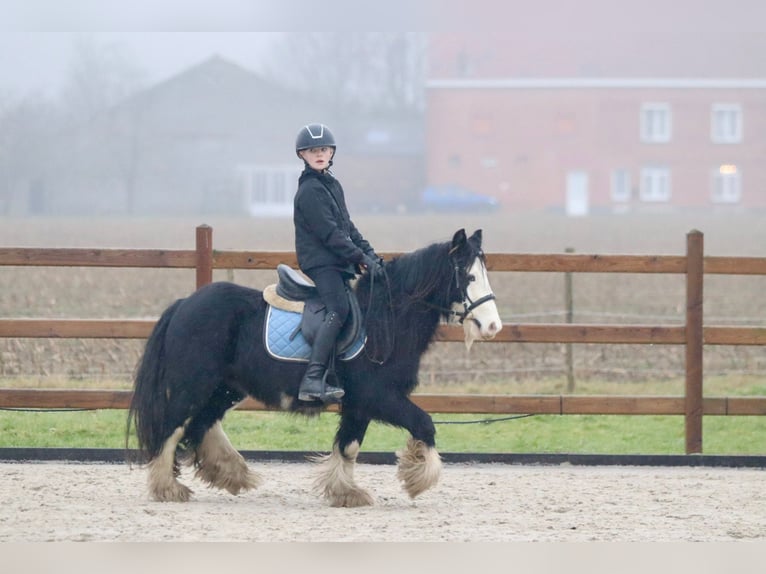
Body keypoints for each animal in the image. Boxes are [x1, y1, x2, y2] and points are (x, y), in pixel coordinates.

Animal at [127, 230, 504, 508]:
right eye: (468, 275)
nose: (493, 326)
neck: (385, 320)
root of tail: (184, 304)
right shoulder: (379, 396)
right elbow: (424, 424)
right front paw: (416, 477)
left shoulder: (359, 404)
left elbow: (348, 446)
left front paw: (346, 492)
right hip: (193, 385)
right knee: (173, 427)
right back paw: (167, 487)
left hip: (225, 389)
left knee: (201, 425)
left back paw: (232, 473)